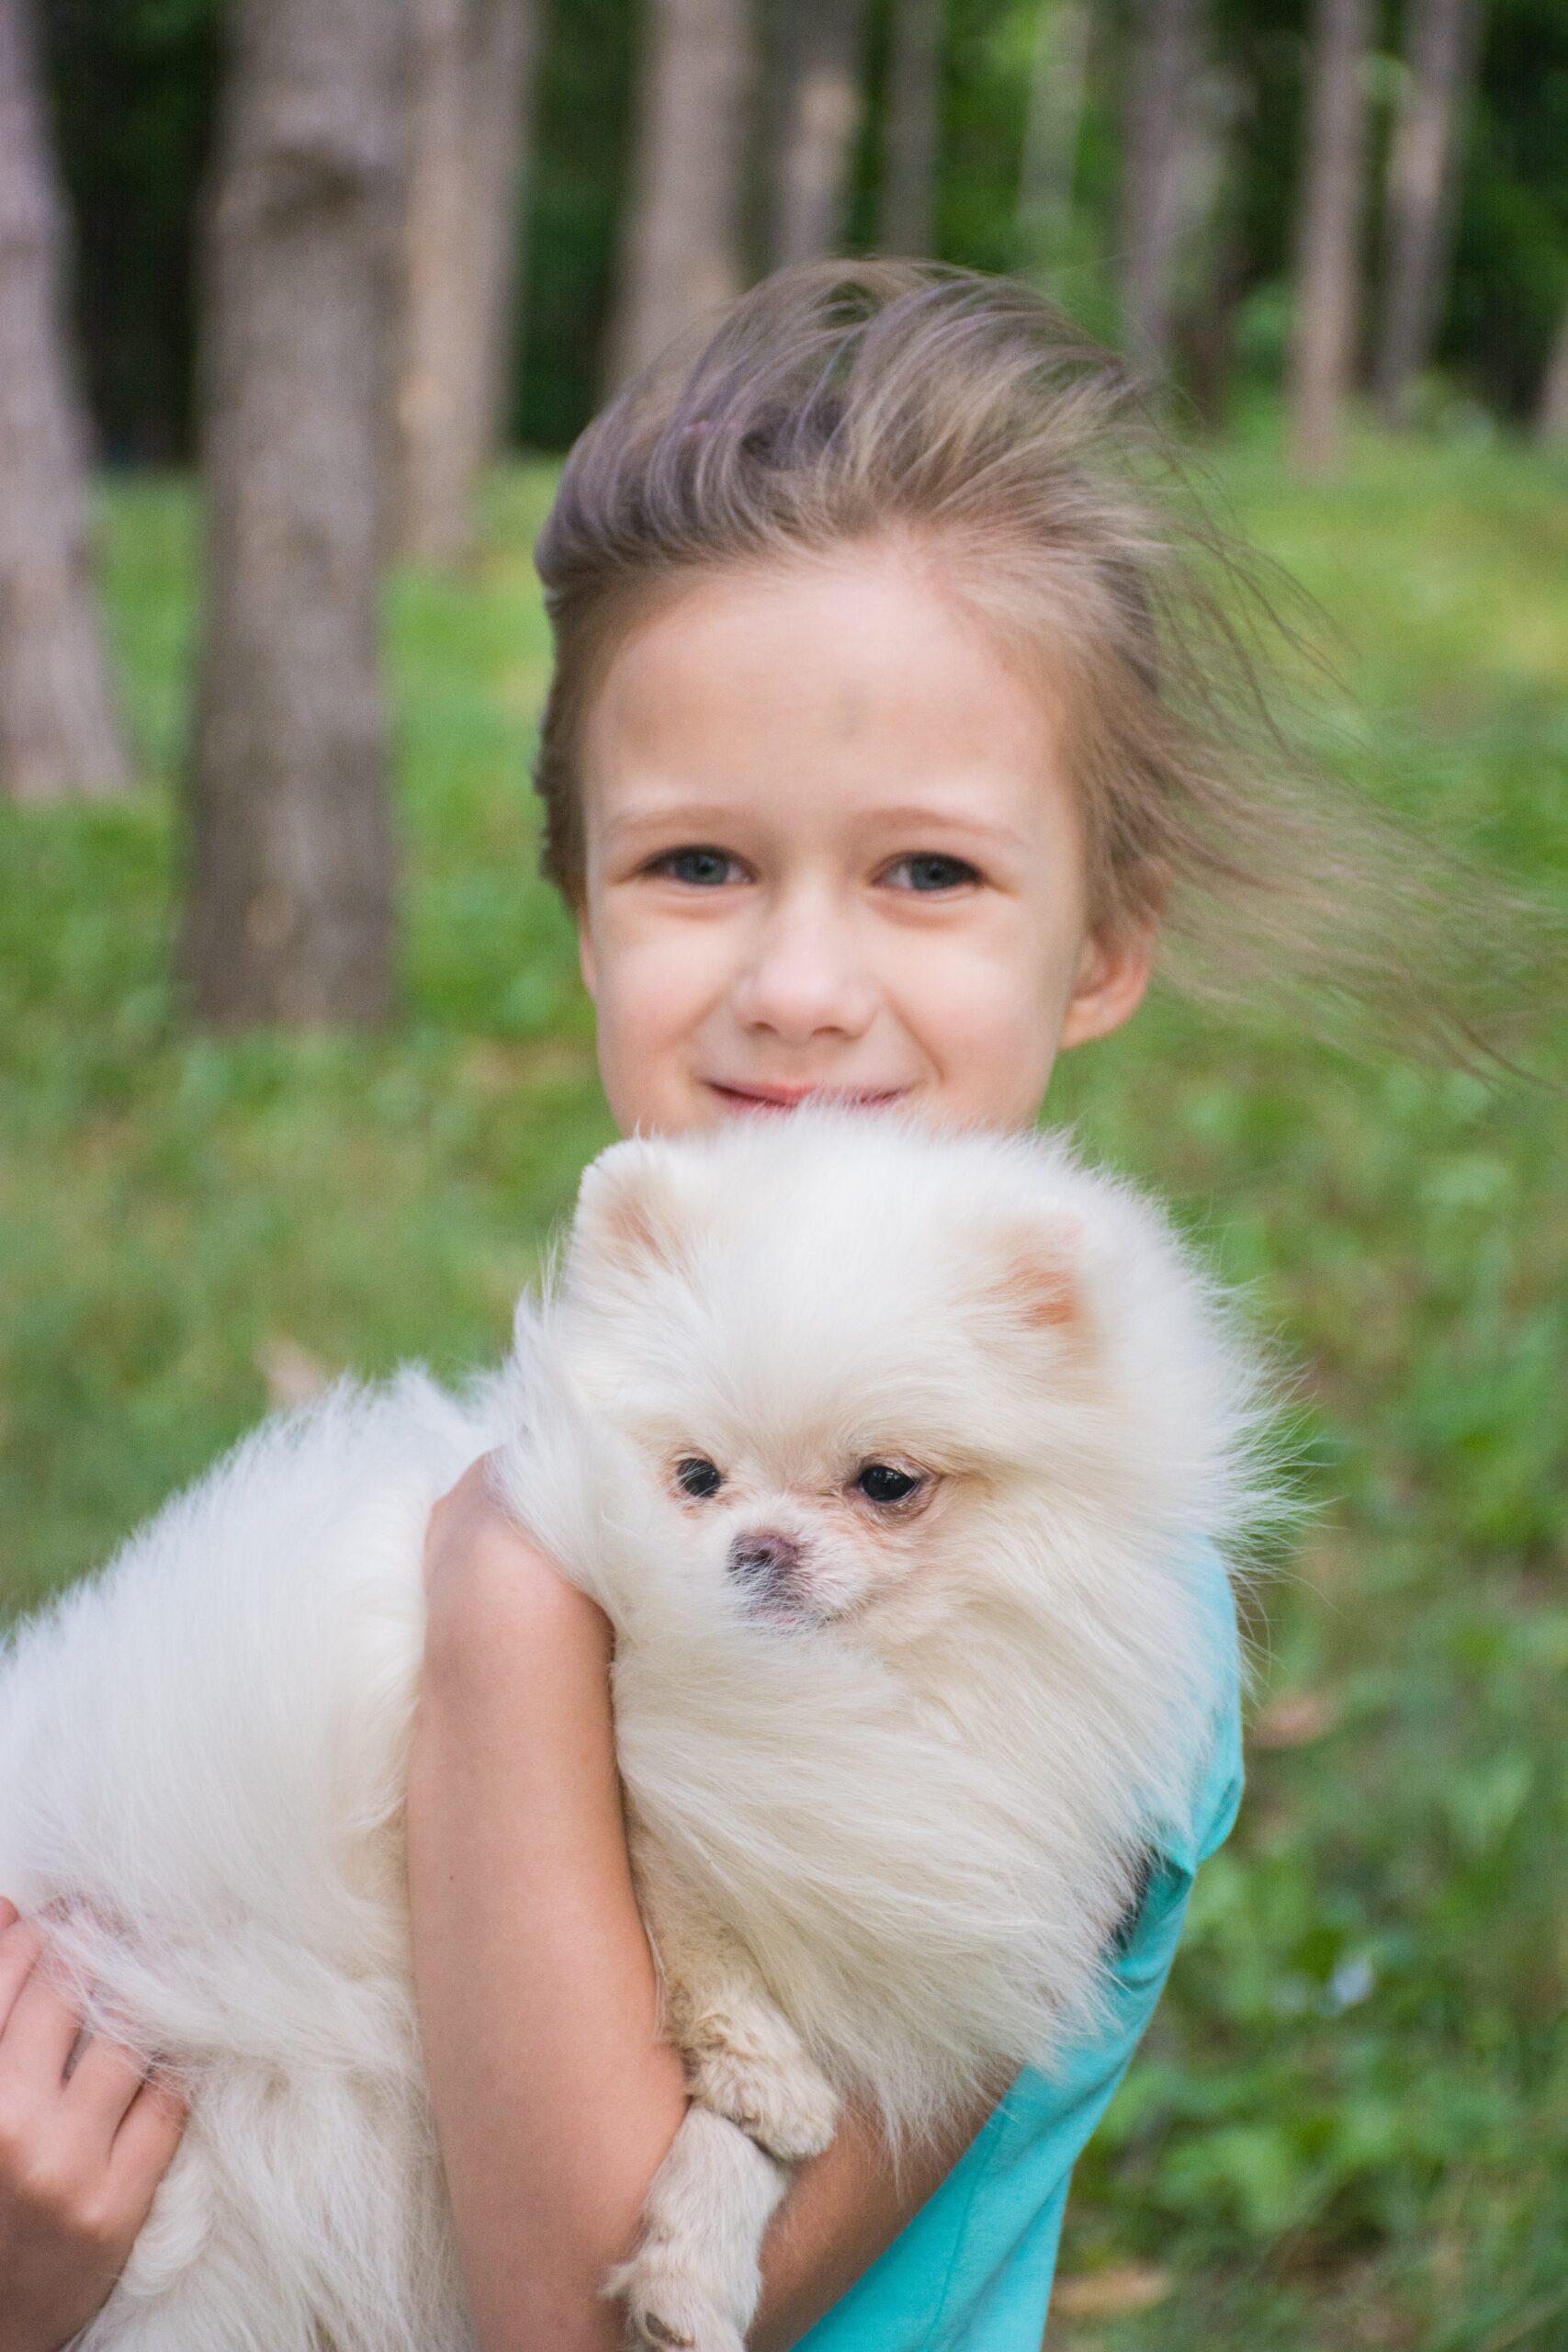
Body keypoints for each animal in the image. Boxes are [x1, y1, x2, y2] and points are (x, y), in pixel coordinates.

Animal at [0, 1110, 1269, 2342]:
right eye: (697, 1477)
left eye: (887, 1483)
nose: (758, 1547)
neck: (845, 1698)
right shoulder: (626, 1777)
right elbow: (688, 1919)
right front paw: (766, 2076)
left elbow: (737, 2126)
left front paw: (695, 2262)